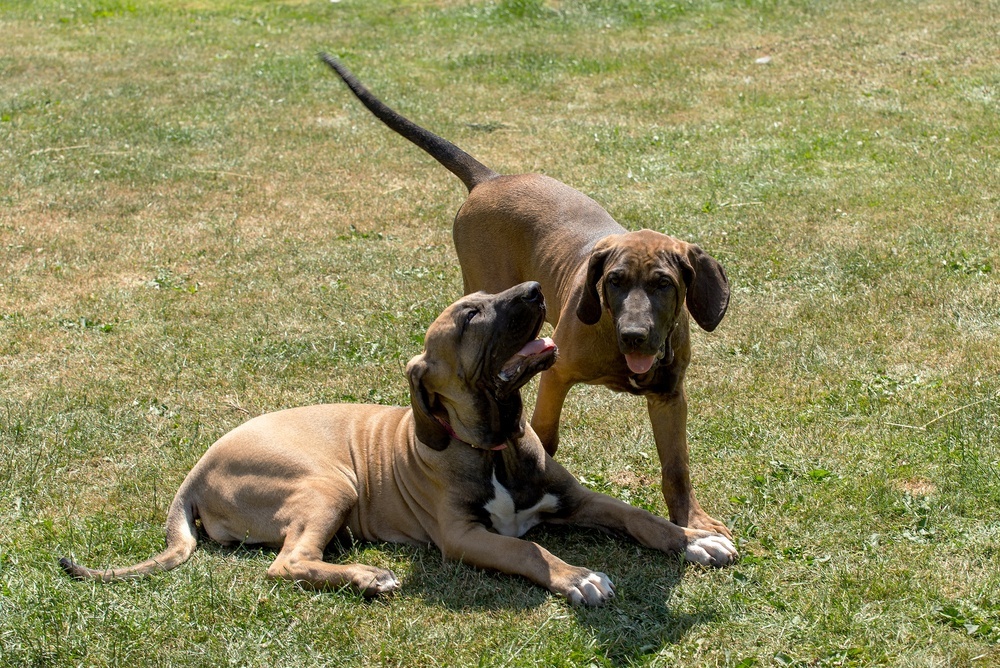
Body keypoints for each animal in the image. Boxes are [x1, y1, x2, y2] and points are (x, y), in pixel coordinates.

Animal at [62, 284, 736, 604]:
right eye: (470, 317)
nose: (536, 291)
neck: (495, 445)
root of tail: (196, 472)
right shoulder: (465, 537)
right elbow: (529, 550)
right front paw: (577, 577)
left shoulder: (575, 498)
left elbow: (638, 515)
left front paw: (694, 540)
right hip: (328, 483)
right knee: (287, 564)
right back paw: (367, 577)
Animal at [326, 56, 736, 536]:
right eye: (613, 281)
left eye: (664, 284)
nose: (634, 336)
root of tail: (490, 179)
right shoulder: (556, 375)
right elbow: (547, 434)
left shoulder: (670, 397)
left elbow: (676, 466)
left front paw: (692, 520)